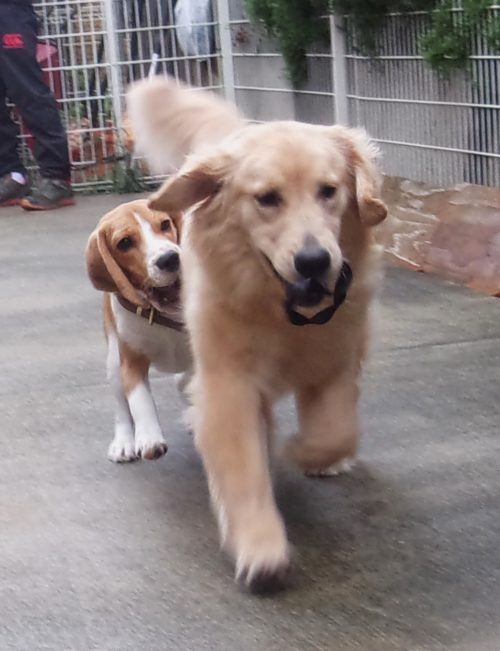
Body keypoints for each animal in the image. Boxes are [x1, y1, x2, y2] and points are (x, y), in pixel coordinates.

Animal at [85, 198, 191, 463]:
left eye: (165, 224)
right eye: (124, 243)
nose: (169, 259)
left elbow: (187, 381)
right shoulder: (131, 363)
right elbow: (139, 401)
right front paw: (149, 437)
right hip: (113, 364)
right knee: (121, 409)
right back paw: (123, 442)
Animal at [127, 77, 388, 593]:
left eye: (329, 191)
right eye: (267, 198)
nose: (314, 261)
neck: (281, 313)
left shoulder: (335, 357)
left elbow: (336, 430)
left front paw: (306, 452)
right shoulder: (231, 381)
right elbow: (243, 467)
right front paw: (261, 547)